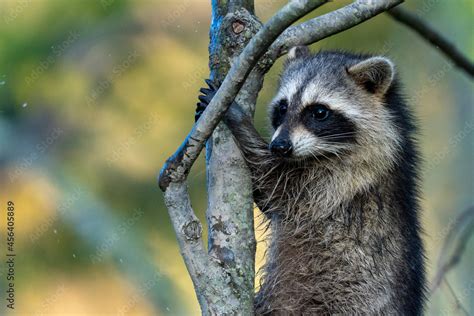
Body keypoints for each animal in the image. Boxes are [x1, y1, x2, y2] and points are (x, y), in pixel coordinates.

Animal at [196, 47, 426, 316]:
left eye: (319, 112)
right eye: (283, 107)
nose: (279, 147)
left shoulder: (347, 176)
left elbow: (277, 185)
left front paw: (238, 120)